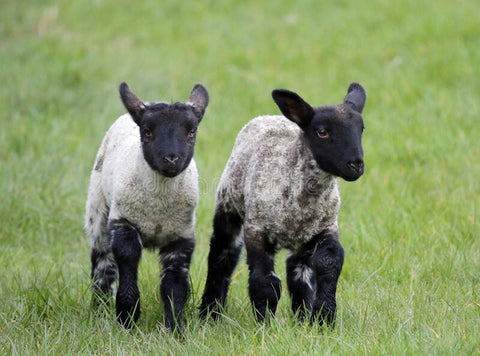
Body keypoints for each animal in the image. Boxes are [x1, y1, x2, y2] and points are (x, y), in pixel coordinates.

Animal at [85, 82, 209, 330]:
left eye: (191, 132)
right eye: (147, 131)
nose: (171, 159)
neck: (157, 208)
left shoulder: (180, 236)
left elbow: (174, 285)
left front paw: (175, 327)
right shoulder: (124, 223)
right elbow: (127, 262)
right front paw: (127, 317)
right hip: (98, 208)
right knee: (103, 262)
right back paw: (100, 309)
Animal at [201, 82, 366, 326]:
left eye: (361, 129)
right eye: (322, 131)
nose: (356, 165)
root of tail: (269, 116)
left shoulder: (326, 227)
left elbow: (329, 263)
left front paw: (323, 318)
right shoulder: (256, 229)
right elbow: (265, 281)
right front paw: (264, 323)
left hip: (303, 239)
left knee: (297, 269)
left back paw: (301, 315)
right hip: (228, 203)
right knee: (222, 253)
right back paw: (209, 312)